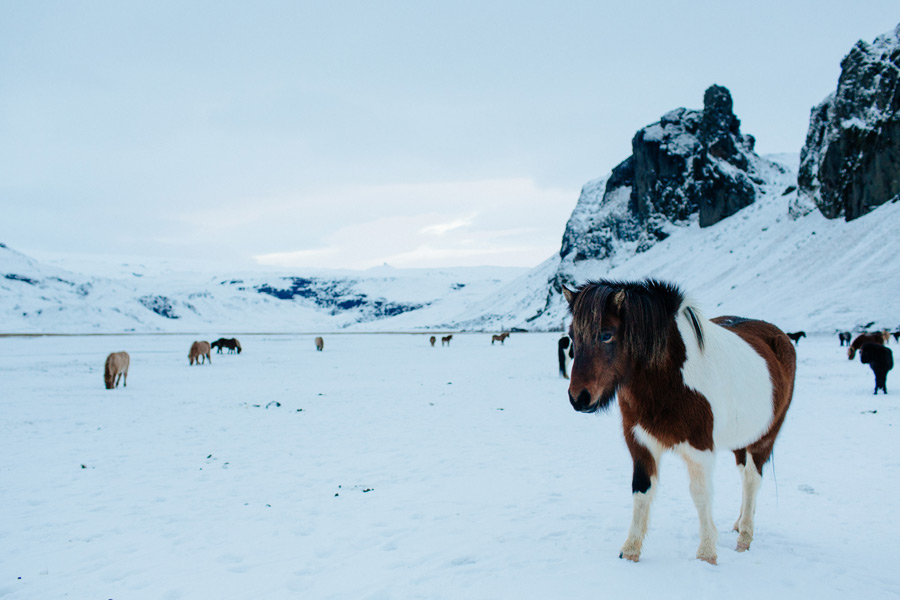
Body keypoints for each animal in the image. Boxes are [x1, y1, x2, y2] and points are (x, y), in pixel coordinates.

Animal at [568, 278, 800, 564]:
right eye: (571, 336)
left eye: (606, 334)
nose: (579, 398)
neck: (668, 380)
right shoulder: (640, 442)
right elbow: (641, 490)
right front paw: (631, 550)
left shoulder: (700, 448)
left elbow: (701, 495)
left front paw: (707, 553)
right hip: (740, 440)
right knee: (744, 476)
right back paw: (739, 522)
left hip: (764, 437)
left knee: (751, 479)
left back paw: (745, 536)